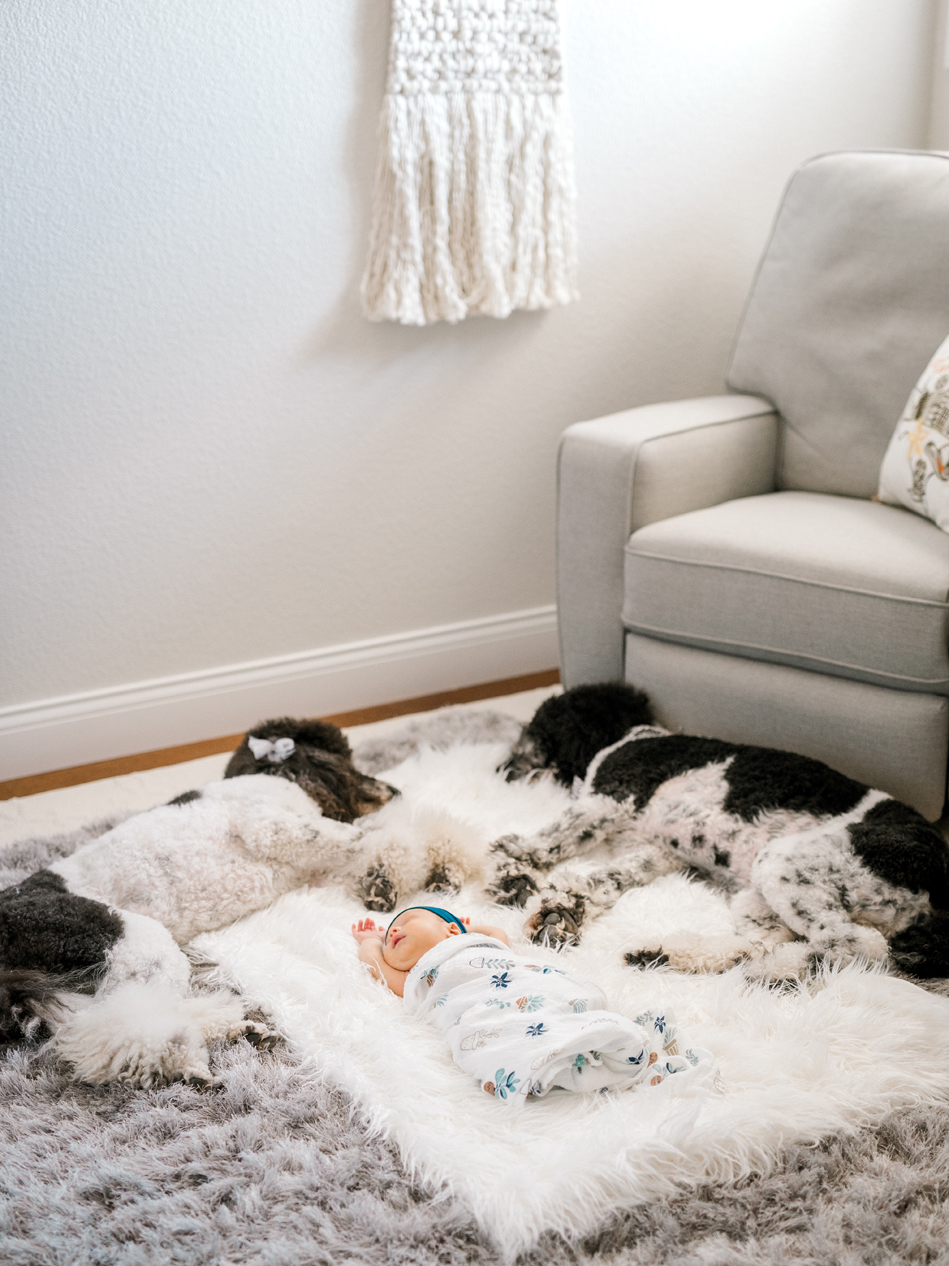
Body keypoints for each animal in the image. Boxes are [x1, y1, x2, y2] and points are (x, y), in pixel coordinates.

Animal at [0, 718, 398, 1086]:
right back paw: (182, 1061)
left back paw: (239, 1030)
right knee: (125, 1027)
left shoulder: (309, 864)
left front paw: (379, 882)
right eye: (345, 759)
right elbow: (358, 836)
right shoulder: (272, 827)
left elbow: (350, 856)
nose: (395, 790)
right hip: (136, 944)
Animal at [489, 684, 949, 978]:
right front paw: (566, 905)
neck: (631, 737)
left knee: (857, 947)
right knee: (765, 945)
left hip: (786, 864)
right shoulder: (658, 850)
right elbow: (608, 878)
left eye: (534, 729)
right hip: (761, 897)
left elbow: (539, 843)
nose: (500, 770)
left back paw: (773, 972)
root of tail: (939, 878)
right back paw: (667, 956)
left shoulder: (608, 800)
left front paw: (513, 874)